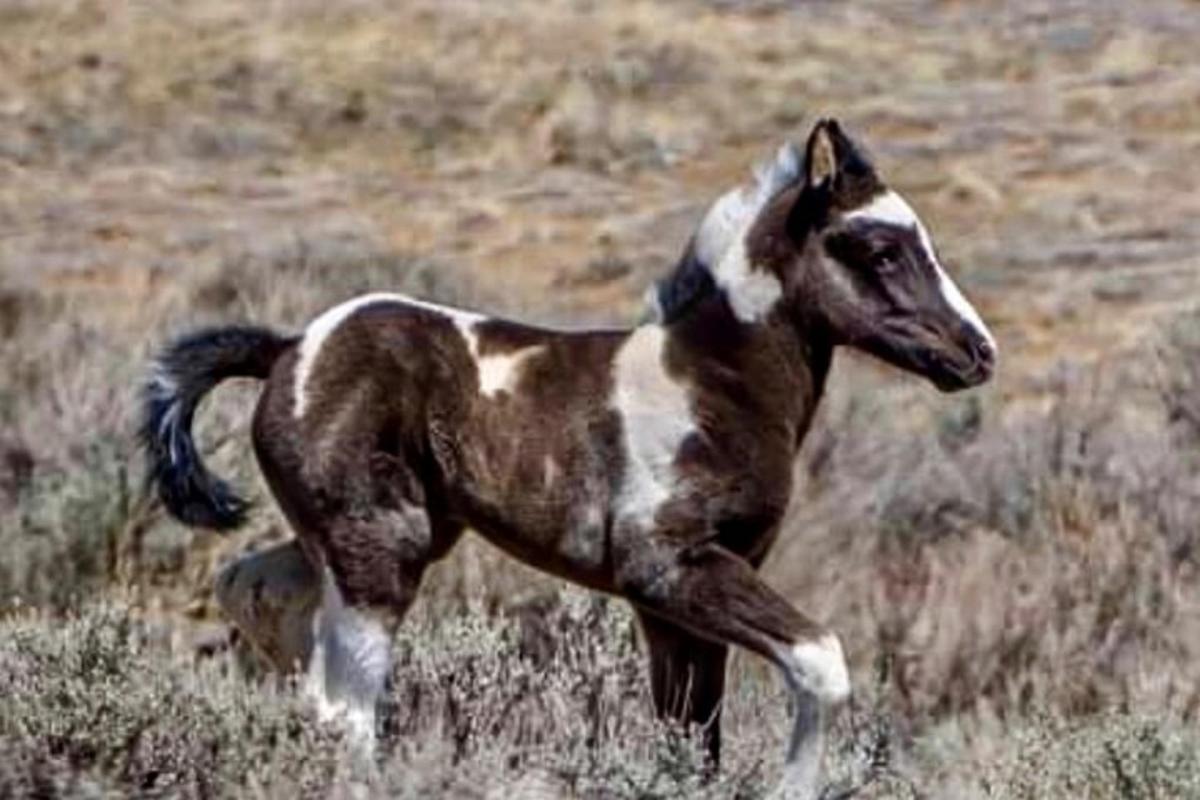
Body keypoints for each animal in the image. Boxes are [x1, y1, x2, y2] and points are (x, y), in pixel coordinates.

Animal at [142, 120, 993, 800]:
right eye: (880, 248)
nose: (977, 352)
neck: (710, 382)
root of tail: (289, 347)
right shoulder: (669, 570)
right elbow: (821, 662)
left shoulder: (676, 611)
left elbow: (693, 742)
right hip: (380, 549)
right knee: (345, 709)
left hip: (390, 534)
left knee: (255, 592)